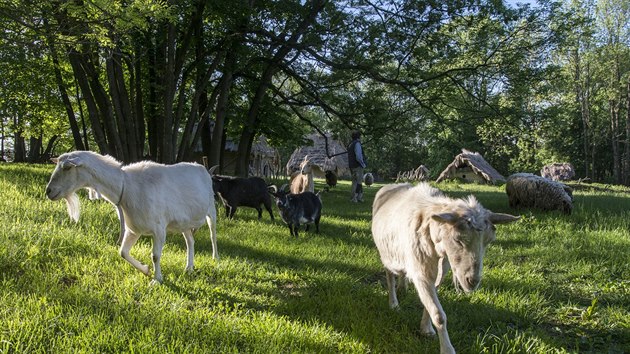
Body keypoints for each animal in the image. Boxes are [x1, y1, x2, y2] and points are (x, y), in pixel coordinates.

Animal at [45, 151, 218, 284]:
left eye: (67, 167)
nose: (49, 191)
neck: (126, 186)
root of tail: (203, 169)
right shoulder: (133, 229)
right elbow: (123, 252)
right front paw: (146, 270)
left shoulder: (159, 228)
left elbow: (155, 256)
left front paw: (157, 279)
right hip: (184, 222)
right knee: (190, 241)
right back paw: (189, 268)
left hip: (212, 209)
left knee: (212, 234)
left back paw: (215, 258)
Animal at [372, 183, 520, 354]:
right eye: (457, 239)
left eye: (489, 241)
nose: (473, 281)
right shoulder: (421, 273)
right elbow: (439, 315)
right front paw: (447, 349)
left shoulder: (438, 273)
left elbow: (429, 304)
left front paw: (426, 329)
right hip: (386, 253)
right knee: (390, 276)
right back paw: (394, 304)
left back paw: (403, 287)